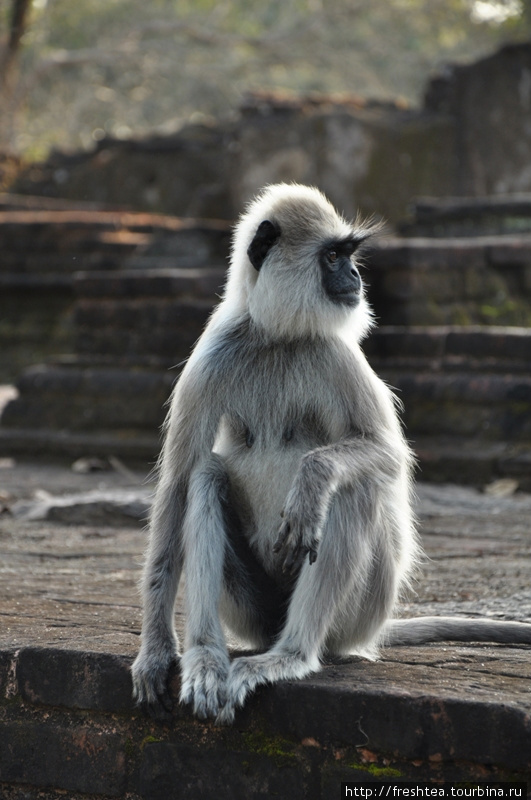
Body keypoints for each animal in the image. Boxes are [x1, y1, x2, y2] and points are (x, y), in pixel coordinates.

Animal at [131, 183, 531, 724]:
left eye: (349, 255)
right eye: (335, 257)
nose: (356, 277)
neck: (279, 336)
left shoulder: (337, 353)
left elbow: (386, 455)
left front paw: (311, 479)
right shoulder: (212, 356)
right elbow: (176, 484)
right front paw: (155, 652)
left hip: (362, 612)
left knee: (353, 487)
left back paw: (291, 656)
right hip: (255, 613)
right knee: (207, 475)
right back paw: (205, 659)